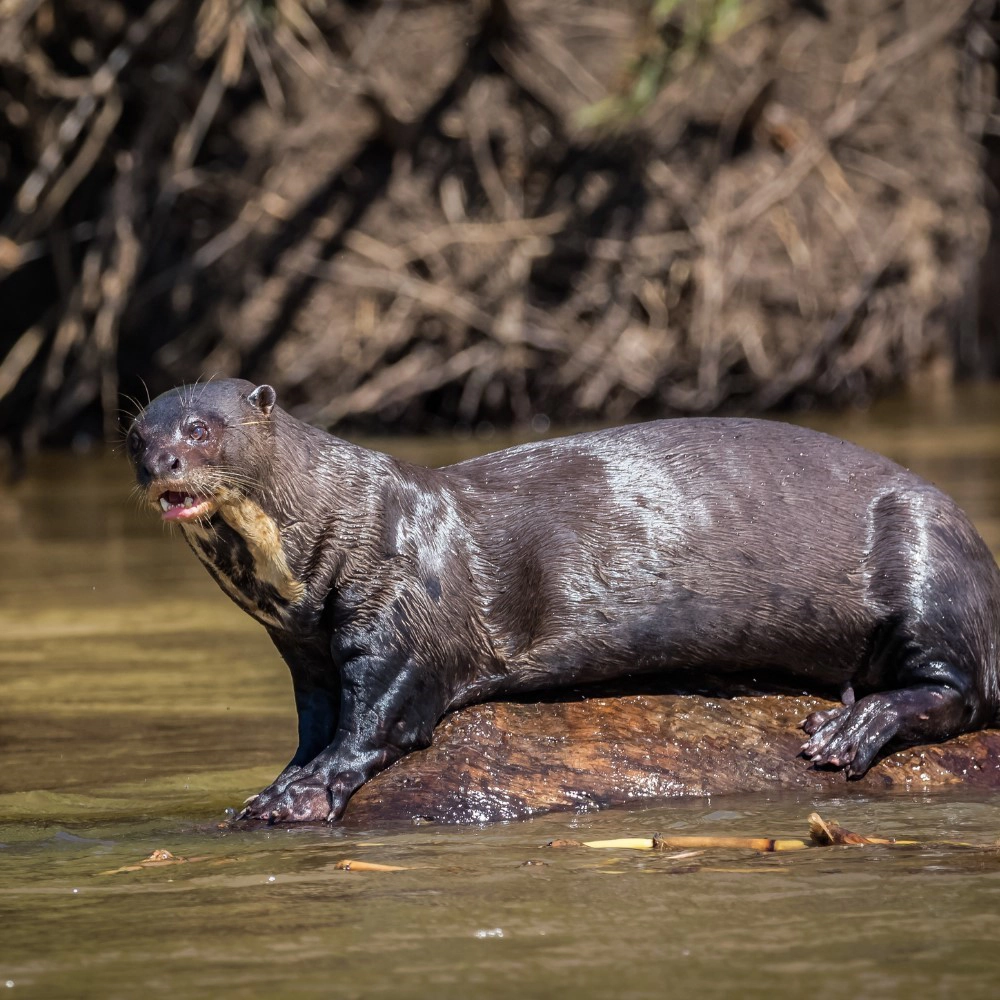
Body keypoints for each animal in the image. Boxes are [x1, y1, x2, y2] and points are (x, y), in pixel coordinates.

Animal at [125, 380, 1000, 820]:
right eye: (136, 434)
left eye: (200, 428)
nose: (162, 461)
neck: (338, 529)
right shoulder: (302, 647)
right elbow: (314, 720)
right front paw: (277, 780)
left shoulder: (405, 620)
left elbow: (379, 720)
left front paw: (303, 793)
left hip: (929, 559)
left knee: (962, 691)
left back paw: (854, 728)